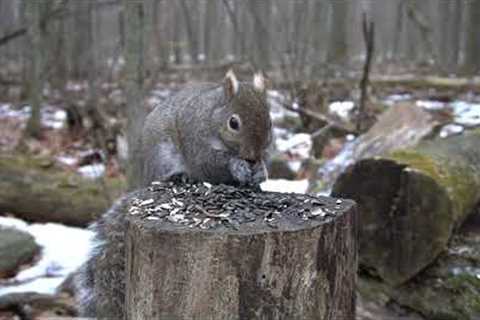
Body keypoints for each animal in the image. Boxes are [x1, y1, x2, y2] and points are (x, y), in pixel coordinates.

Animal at [73, 70, 272, 318]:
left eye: (270, 122)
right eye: (233, 123)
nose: (253, 157)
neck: (212, 116)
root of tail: (146, 179)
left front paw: (260, 172)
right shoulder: (197, 142)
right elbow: (212, 163)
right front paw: (238, 165)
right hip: (164, 156)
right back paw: (181, 177)